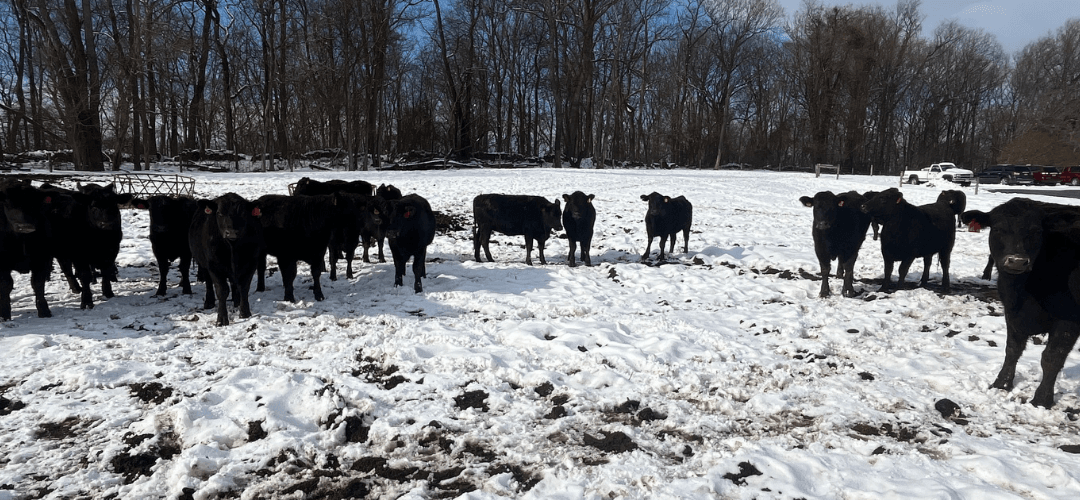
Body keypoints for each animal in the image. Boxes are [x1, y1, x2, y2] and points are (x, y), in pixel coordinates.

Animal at [0, 182, 54, 319]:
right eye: (6, 203)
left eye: (34, 204)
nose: (25, 226)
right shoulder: (2, 264)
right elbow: (6, 285)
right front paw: (4, 313)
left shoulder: (42, 259)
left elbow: (38, 284)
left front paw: (44, 310)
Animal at [189, 193, 264, 326]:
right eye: (219, 213)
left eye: (243, 213)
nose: (232, 233)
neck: (232, 247)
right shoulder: (214, 266)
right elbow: (222, 290)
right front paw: (222, 319)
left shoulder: (251, 263)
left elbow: (244, 287)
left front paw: (245, 312)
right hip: (204, 264)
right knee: (209, 282)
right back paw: (209, 302)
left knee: (235, 283)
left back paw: (236, 300)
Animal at [961, 198, 1080, 408]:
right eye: (998, 229)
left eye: (1036, 231)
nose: (1016, 261)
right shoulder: (1011, 312)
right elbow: (1012, 349)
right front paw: (1001, 383)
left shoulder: (1069, 318)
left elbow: (1052, 357)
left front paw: (1041, 400)